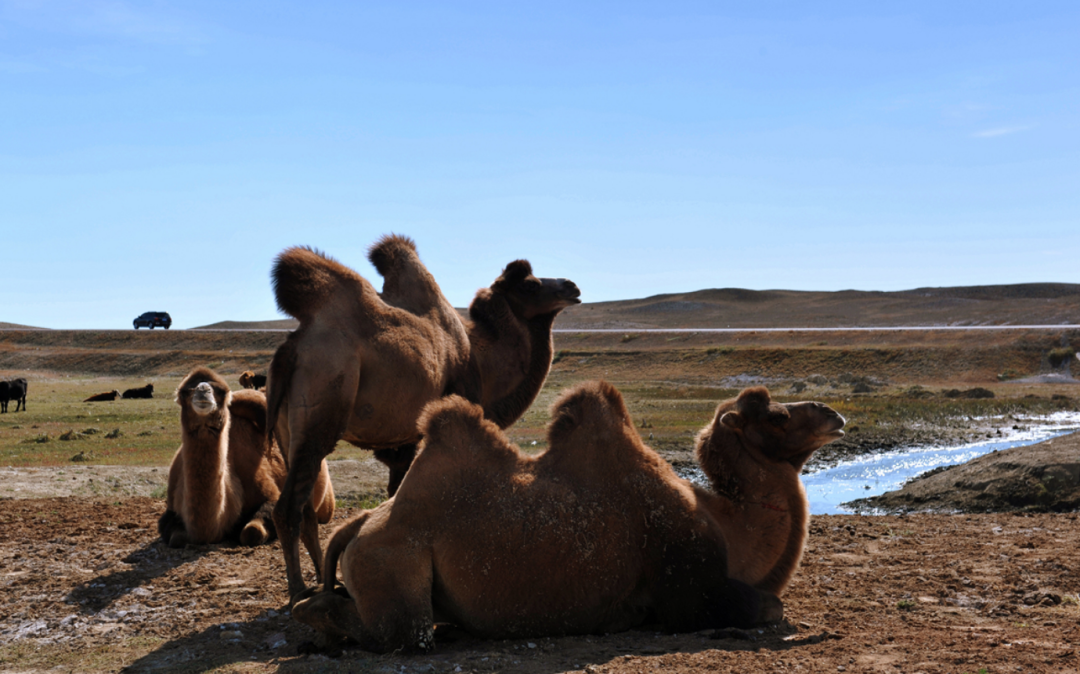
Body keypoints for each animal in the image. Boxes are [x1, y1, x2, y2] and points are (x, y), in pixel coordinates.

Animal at [159, 369, 332, 548]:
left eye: (220, 391)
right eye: (186, 391)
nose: (203, 390)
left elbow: (252, 531)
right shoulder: (171, 509)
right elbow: (176, 538)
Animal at [264, 235, 578, 600]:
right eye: (530, 285)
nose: (571, 286)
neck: (479, 358)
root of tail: (292, 349)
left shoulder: (402, 440)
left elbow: (393, 493)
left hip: (289, 431)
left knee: (306, 509)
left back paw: (324, 581)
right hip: (321, 408)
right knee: (288, 508)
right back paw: (298, 589)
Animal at [289, 384, 842, 652]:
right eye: (776, 416)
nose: (834, 415)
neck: (726, 523)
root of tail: (359, 524)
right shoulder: (687, 590)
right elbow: (769, 607)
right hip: (393, 566)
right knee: (397, 632)